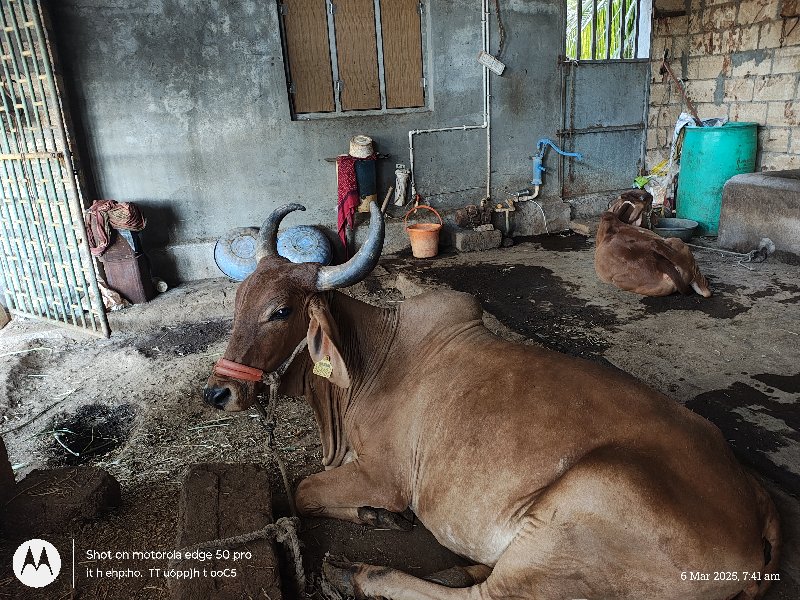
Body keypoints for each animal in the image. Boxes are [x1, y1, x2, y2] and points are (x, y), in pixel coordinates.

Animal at [205, 203, 776, 600]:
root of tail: (757, 525)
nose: (218, 392)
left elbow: (301, 491)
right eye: (238, 301)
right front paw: (377, 519)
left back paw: (355, 573)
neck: (372, 356)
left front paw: (377, 518)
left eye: (281, 311)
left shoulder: (385, 476)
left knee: (485, 595)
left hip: (587, 502)